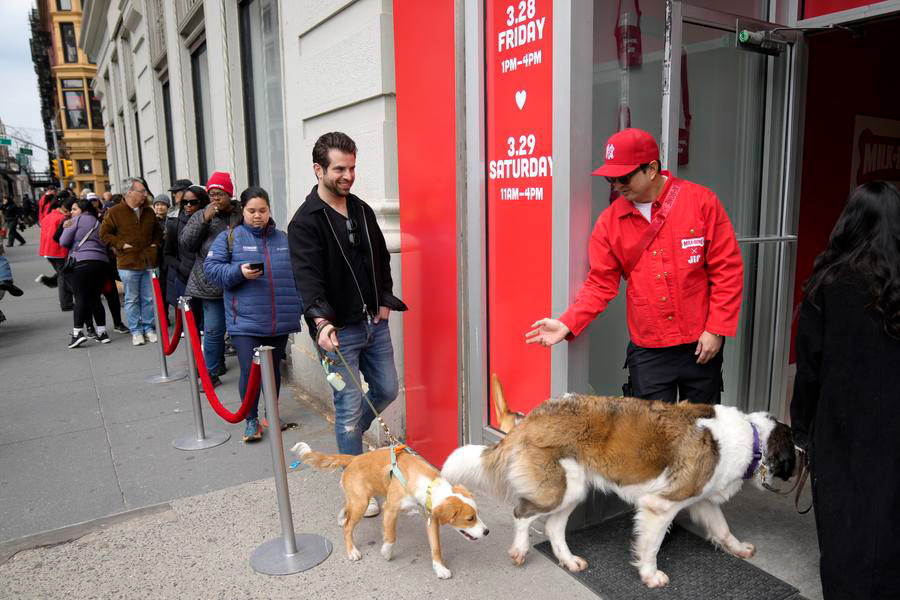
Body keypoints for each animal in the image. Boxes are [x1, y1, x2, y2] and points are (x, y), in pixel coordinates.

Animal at [292, 442, 489, 579]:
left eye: (477, 514)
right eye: (470, 518)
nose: (487, 532)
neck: (426, 483)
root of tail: (353, 458)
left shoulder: (431, 517)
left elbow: (436, 547)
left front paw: (439, 568)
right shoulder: (390, 509)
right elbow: (391, 535)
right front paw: (386, 551)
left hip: (359, 499)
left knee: (346, 507)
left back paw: (341, 518)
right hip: (361, 502)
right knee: (348, 527)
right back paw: (352, 551)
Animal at [441, 394, 795, 588]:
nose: (801, 459)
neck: (749, 437)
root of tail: (534, 415)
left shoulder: (699, 497)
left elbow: (722, 528)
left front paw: (738, 548)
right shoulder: (661, 505)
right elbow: (651, 546)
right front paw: (651, 576)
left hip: (574, 489)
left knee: (554, 527)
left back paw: (569, 561)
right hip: (558, 489)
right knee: (522, 513)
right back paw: (519, 549)